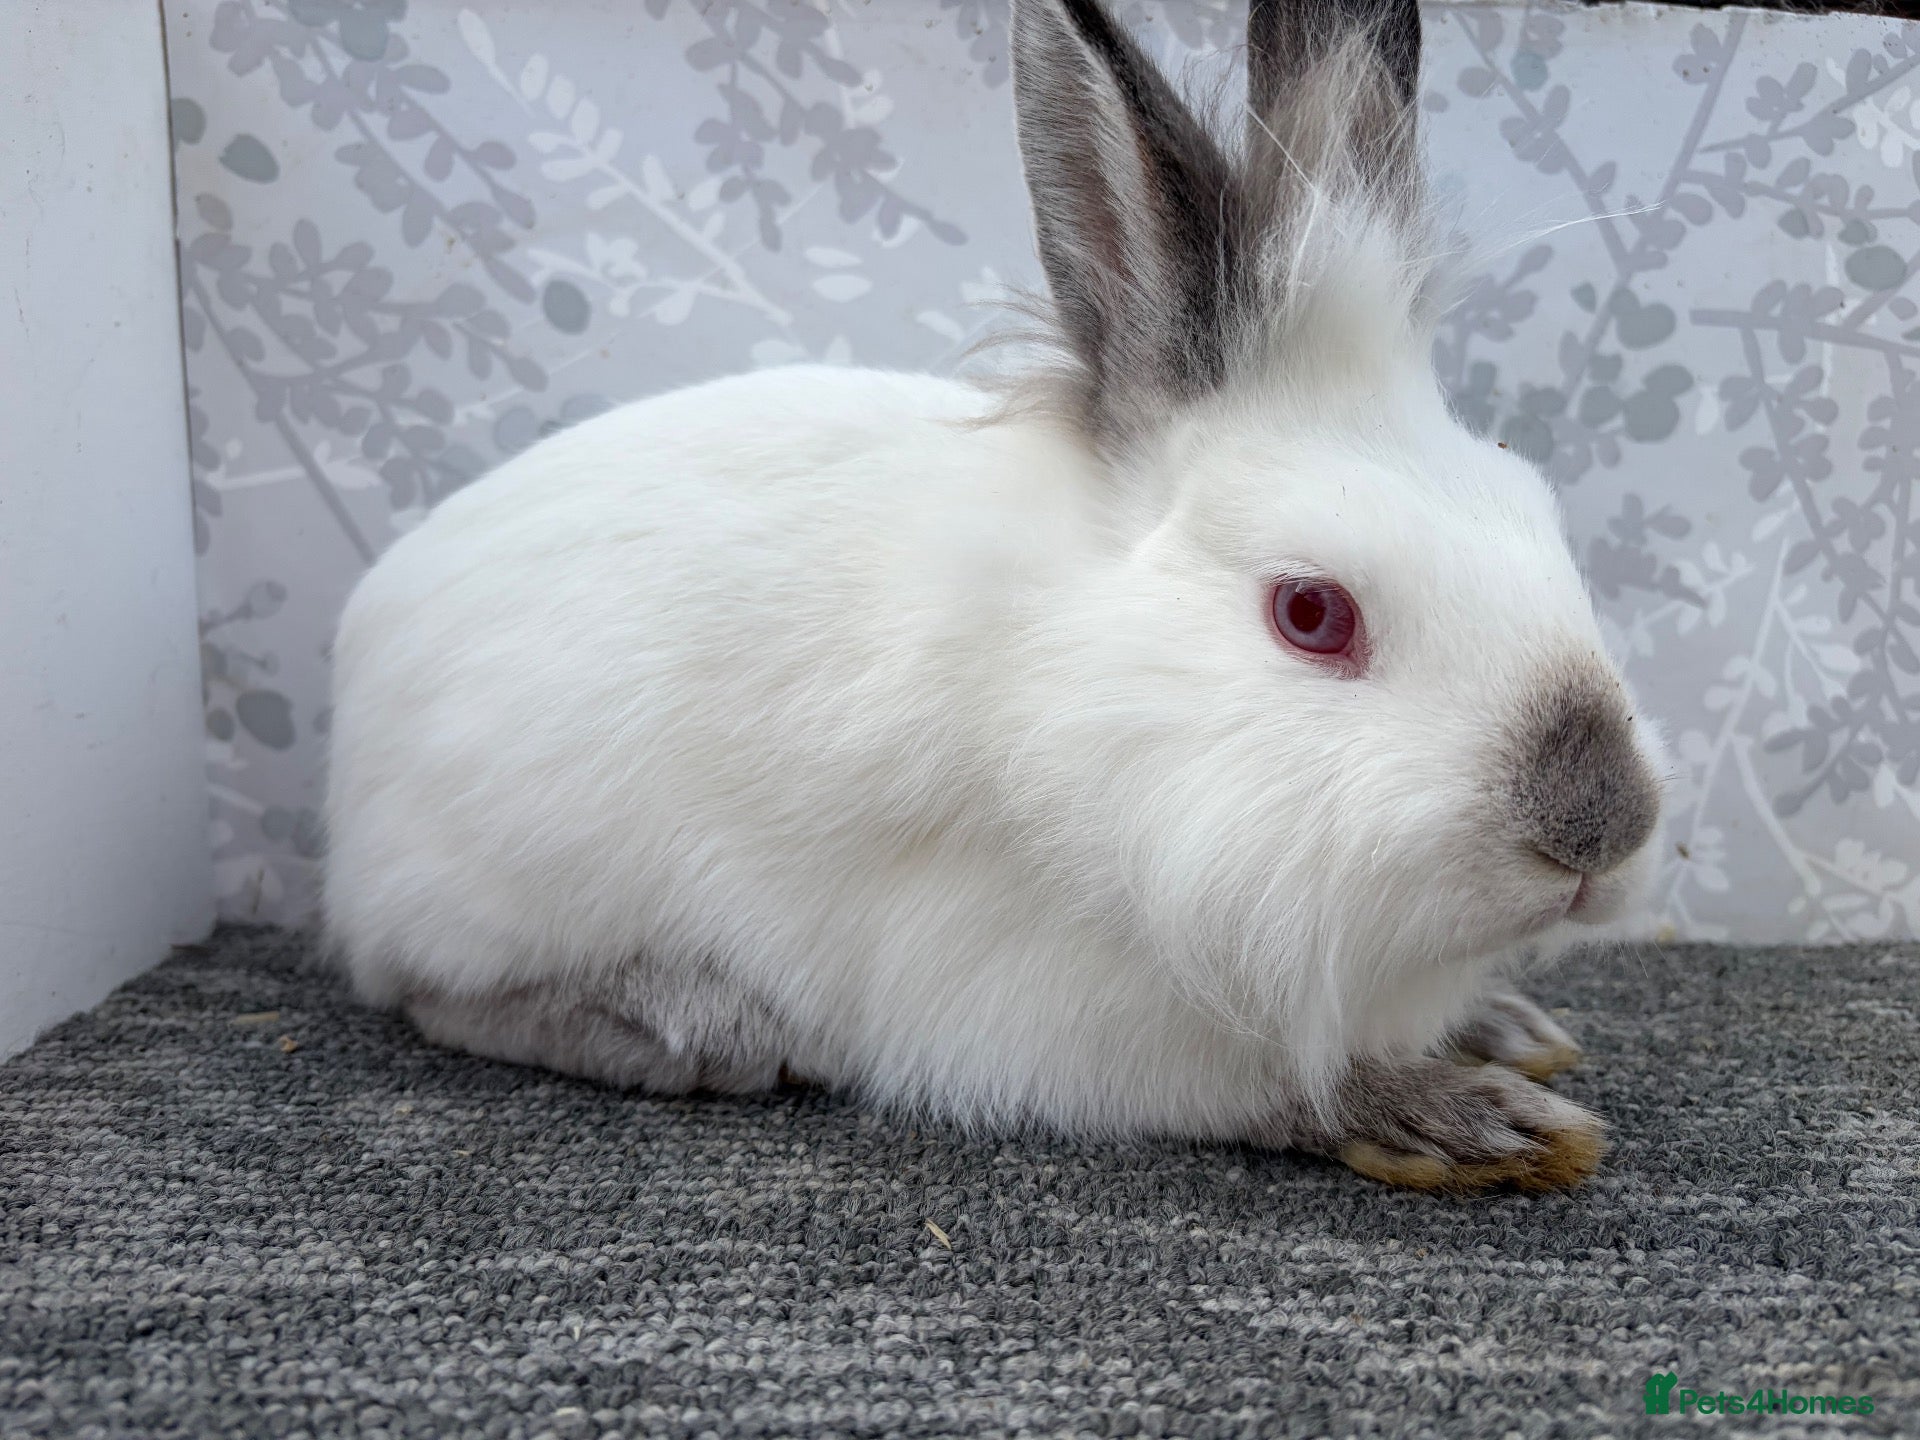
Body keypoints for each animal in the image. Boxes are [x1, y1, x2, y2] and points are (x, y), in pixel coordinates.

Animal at [323, 0, 1668, 1194]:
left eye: (1536, 513)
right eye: (1311, 613)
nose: (1604, 826)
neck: (1077, 682)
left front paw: (1505, 1029)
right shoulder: (1042, 999)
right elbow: (1277, 1079)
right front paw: (1473, 1119)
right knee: (428, 992)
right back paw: (697, 1019)